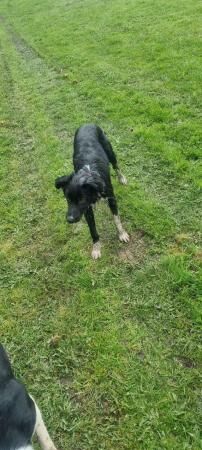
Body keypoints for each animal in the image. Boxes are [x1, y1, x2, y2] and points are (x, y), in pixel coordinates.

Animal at [54, 123, 129, 258]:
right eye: (67, 198)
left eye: (81, 199)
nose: (70, 220)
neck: (88, 176)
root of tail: (87, 123)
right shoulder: (86, 210)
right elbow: (93, 230)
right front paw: (96, 249)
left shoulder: (111, 199)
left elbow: (116, 219)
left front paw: (122, 234)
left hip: (110, 151)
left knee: (116, 166)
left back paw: (122, 178)